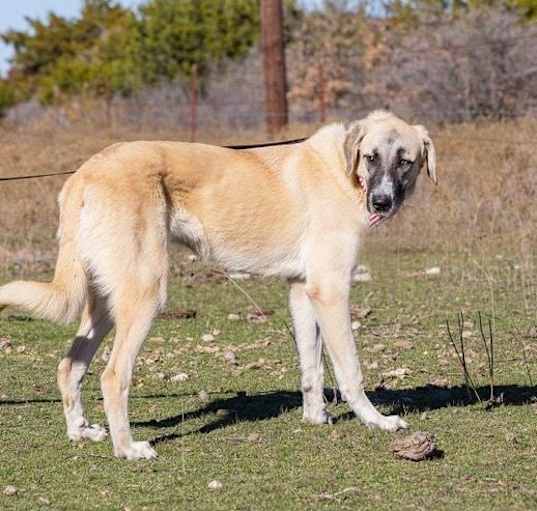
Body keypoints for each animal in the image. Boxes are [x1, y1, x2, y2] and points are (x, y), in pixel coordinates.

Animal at [0, 111, 436, 460]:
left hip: (107, 300)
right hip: (144, 295)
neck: (345, 172)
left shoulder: (302, 290)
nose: (381, 203)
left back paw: (80, 431)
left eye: (405, 161)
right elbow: (350, 370)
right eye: (371, 156)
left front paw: (315, 417)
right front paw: (377, 421)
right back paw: (127, 449)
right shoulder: (330, 290)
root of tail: (86, 171)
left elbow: (311, 367)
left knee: (69, 365)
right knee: (112, 376)